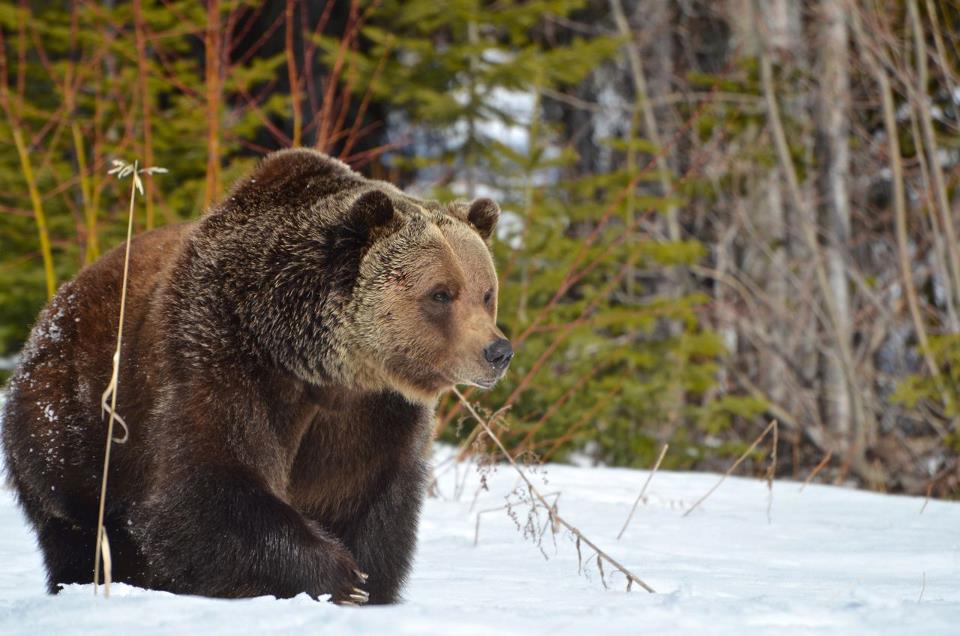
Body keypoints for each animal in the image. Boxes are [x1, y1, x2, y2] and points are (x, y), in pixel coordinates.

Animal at [0, 148, 513, 605]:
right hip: (72, 421)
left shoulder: (373, 412)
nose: (497, 351)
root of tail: (57, 301)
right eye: (441, 293)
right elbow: (201, 490)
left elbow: (369, 499)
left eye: (485, 292)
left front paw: (368, 583)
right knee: (78, 523)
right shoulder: (219, 356)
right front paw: (339, 574)